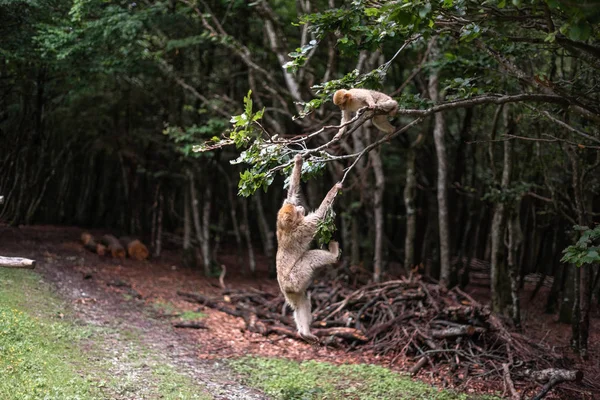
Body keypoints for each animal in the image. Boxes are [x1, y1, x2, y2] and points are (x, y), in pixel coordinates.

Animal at [276, 155, 342, 342]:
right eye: (298, 212)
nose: (300, 207)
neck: (286, 228)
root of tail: (284, 287)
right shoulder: (303, 227)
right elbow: (319, 216)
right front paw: (334, 189)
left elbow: (291, 194)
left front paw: (298, 162)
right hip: (295, 279)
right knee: (308, 258)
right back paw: (334, 255)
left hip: (292, 291)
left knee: (302, 303)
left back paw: (304, 333)